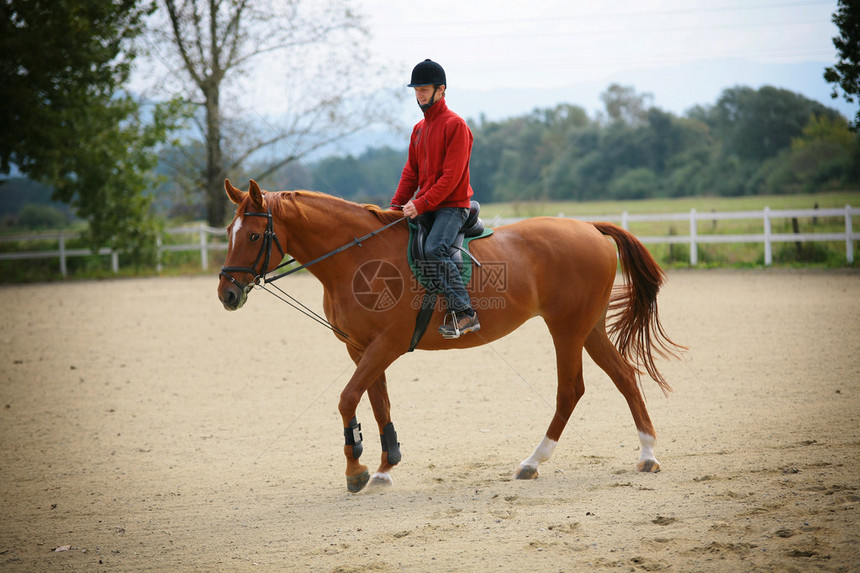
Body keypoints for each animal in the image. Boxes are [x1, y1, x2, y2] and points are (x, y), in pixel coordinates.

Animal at [218, 180, 680, 492]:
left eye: (255, 235)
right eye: (228, 234)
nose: (227, 293)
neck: (356, 258)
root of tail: (591, 228)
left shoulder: (385, 345)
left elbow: (348, 398)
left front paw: (357, 470)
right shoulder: (360, 348)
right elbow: (379, 402)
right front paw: (385, 466)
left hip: (566, 328)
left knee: (571, 390)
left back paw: (534, 461)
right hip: (588, 328)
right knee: (624, 376)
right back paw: (647, 454)